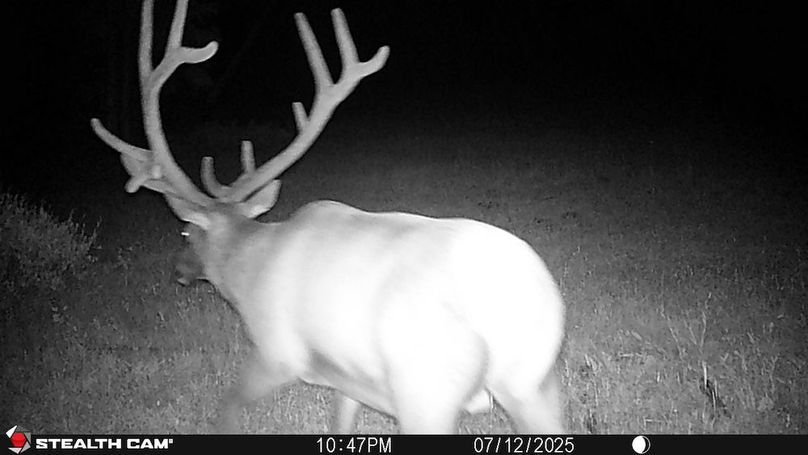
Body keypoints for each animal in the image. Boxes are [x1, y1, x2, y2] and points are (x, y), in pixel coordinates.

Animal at [91, 0, 565, 434]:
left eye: (186, 231)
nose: (179, 271)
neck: (246, 268)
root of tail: (531, 299)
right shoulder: (349, 376)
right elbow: (340, 421)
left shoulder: (278, 349)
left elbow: (228, 408)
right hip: (532, 383)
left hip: (426, 383)